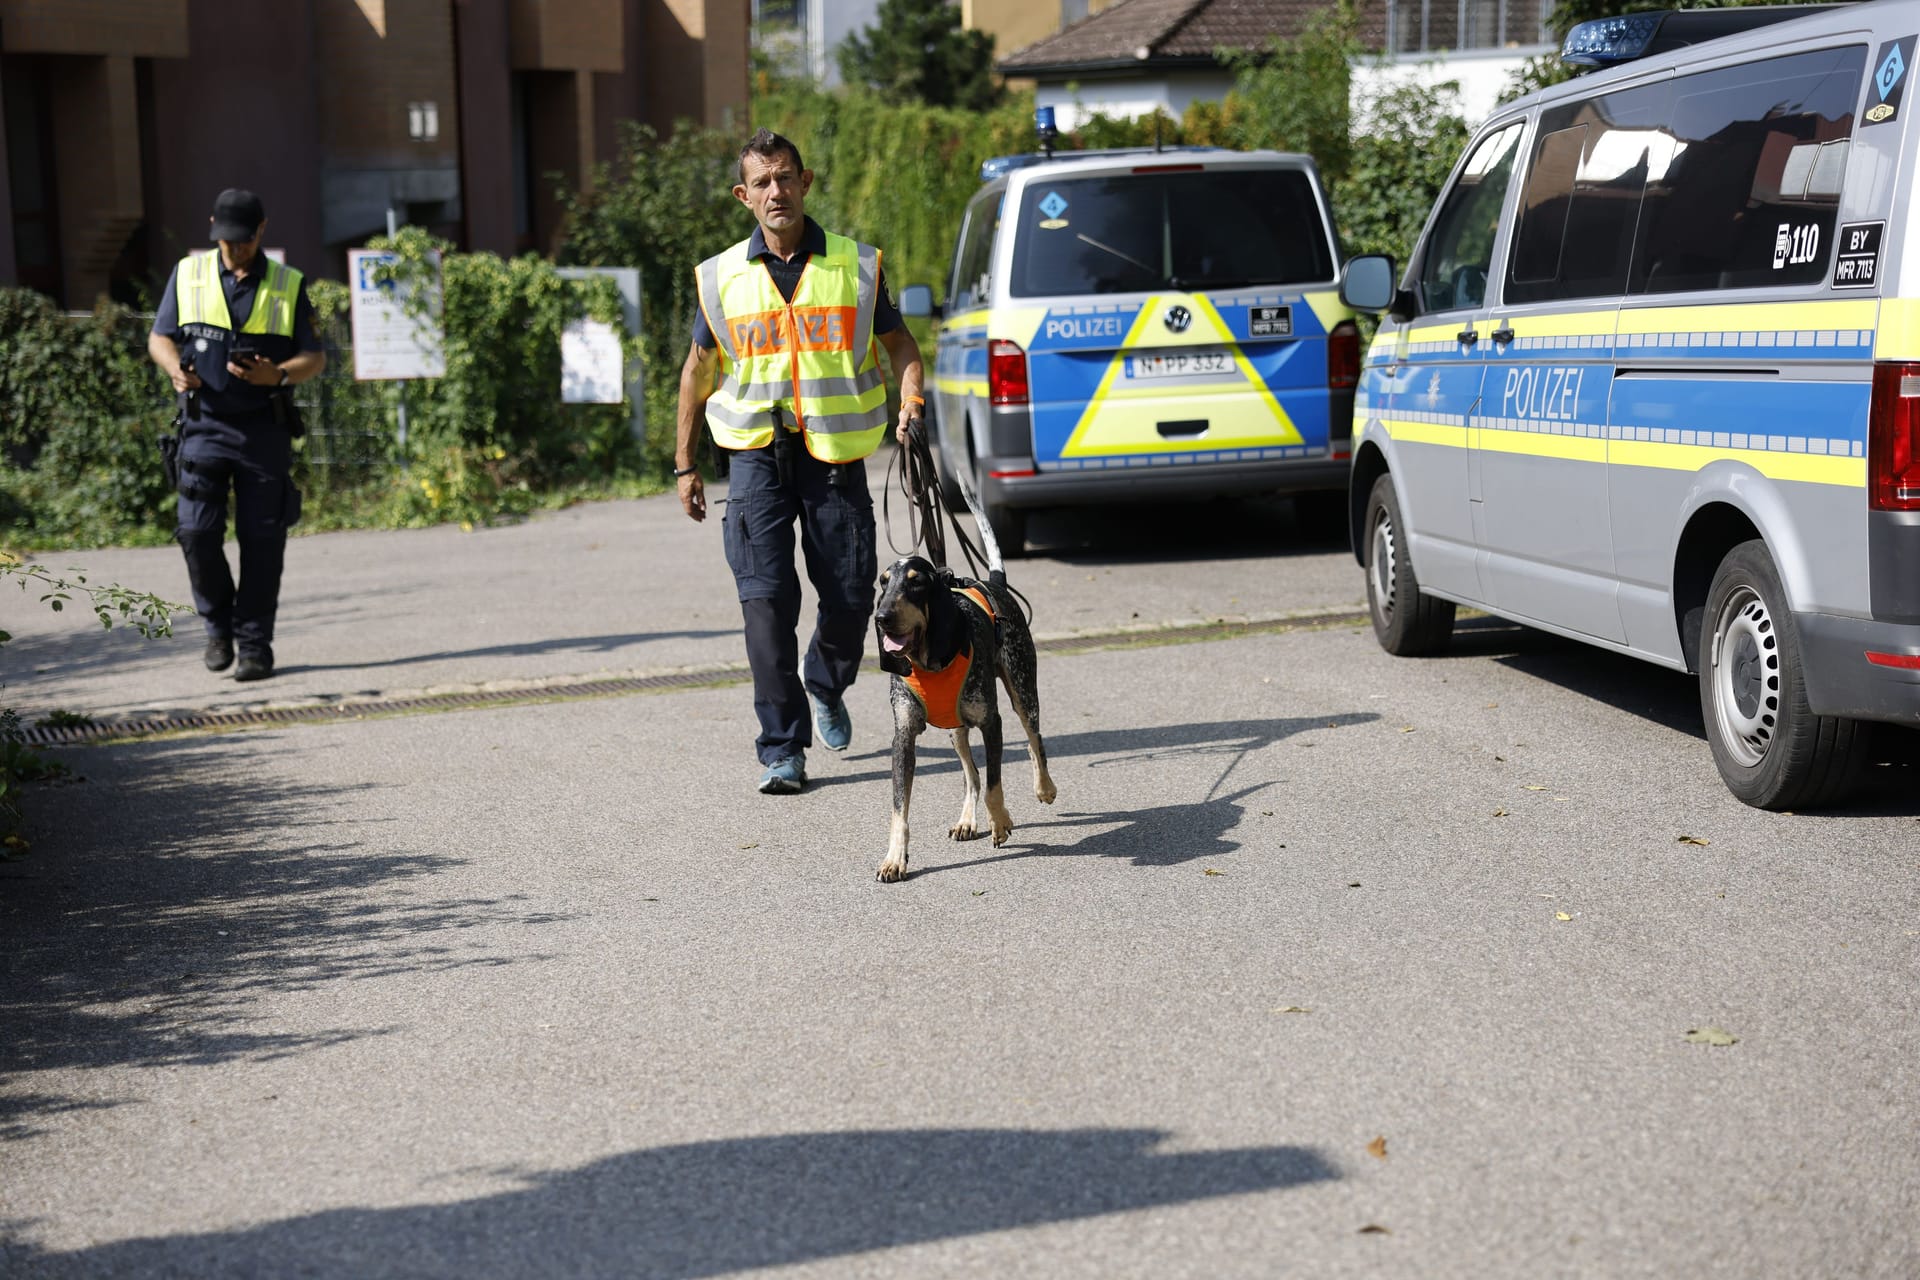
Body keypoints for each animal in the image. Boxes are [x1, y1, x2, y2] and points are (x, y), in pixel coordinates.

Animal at [147, 189, 322, 679]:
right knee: (201, 527)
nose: (232, 256)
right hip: (201, 462)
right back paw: (223, 645)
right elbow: (160, 337)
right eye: (224, 245)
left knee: (261, 532)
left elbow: (310, 353)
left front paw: (263, 371)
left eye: (244, 241)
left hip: (262, 473)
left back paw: (254, 653)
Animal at [679, 127, 925, 790]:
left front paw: (910, 413)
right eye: (760, 182)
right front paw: (780, 751)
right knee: (774, 593)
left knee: (844, 591)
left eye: (783, 177)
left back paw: (827, 707)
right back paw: (787, 749)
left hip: (843, 529)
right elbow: (697, 368)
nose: (774, 201)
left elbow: (899, 342)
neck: (784, 252)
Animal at [875, 556, 1059, 886]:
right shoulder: (903, 740)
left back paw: (1044, 787)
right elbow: (899, 811)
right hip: (955, 729)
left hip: (1023, 691)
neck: (929, 663)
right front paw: (894, 859)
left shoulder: (992, 724)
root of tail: (994, 581)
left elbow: (993, 787)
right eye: (884, 582)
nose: (881, 617)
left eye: (916, 582)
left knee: (1033, 741)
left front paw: (999, 822)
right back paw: (966, 821)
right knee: (971, 774)